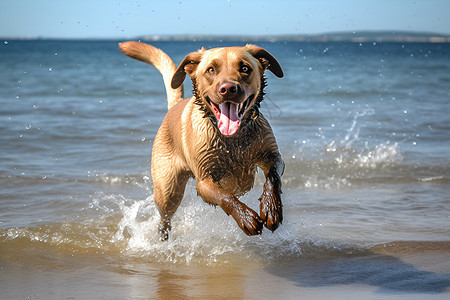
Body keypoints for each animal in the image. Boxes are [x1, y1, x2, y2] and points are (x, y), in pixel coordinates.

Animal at [118, 41, 284, 240]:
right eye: (211, 70)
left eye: (245, 68)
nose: (228, 89)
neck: (232, 140)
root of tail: (175, 106)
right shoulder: (204, 180)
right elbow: (224, 196)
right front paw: (245, 217)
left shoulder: (273, 156)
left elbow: (273, 178)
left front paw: (271, 209)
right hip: (168, 191)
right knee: (164, 218)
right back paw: (162, 238)